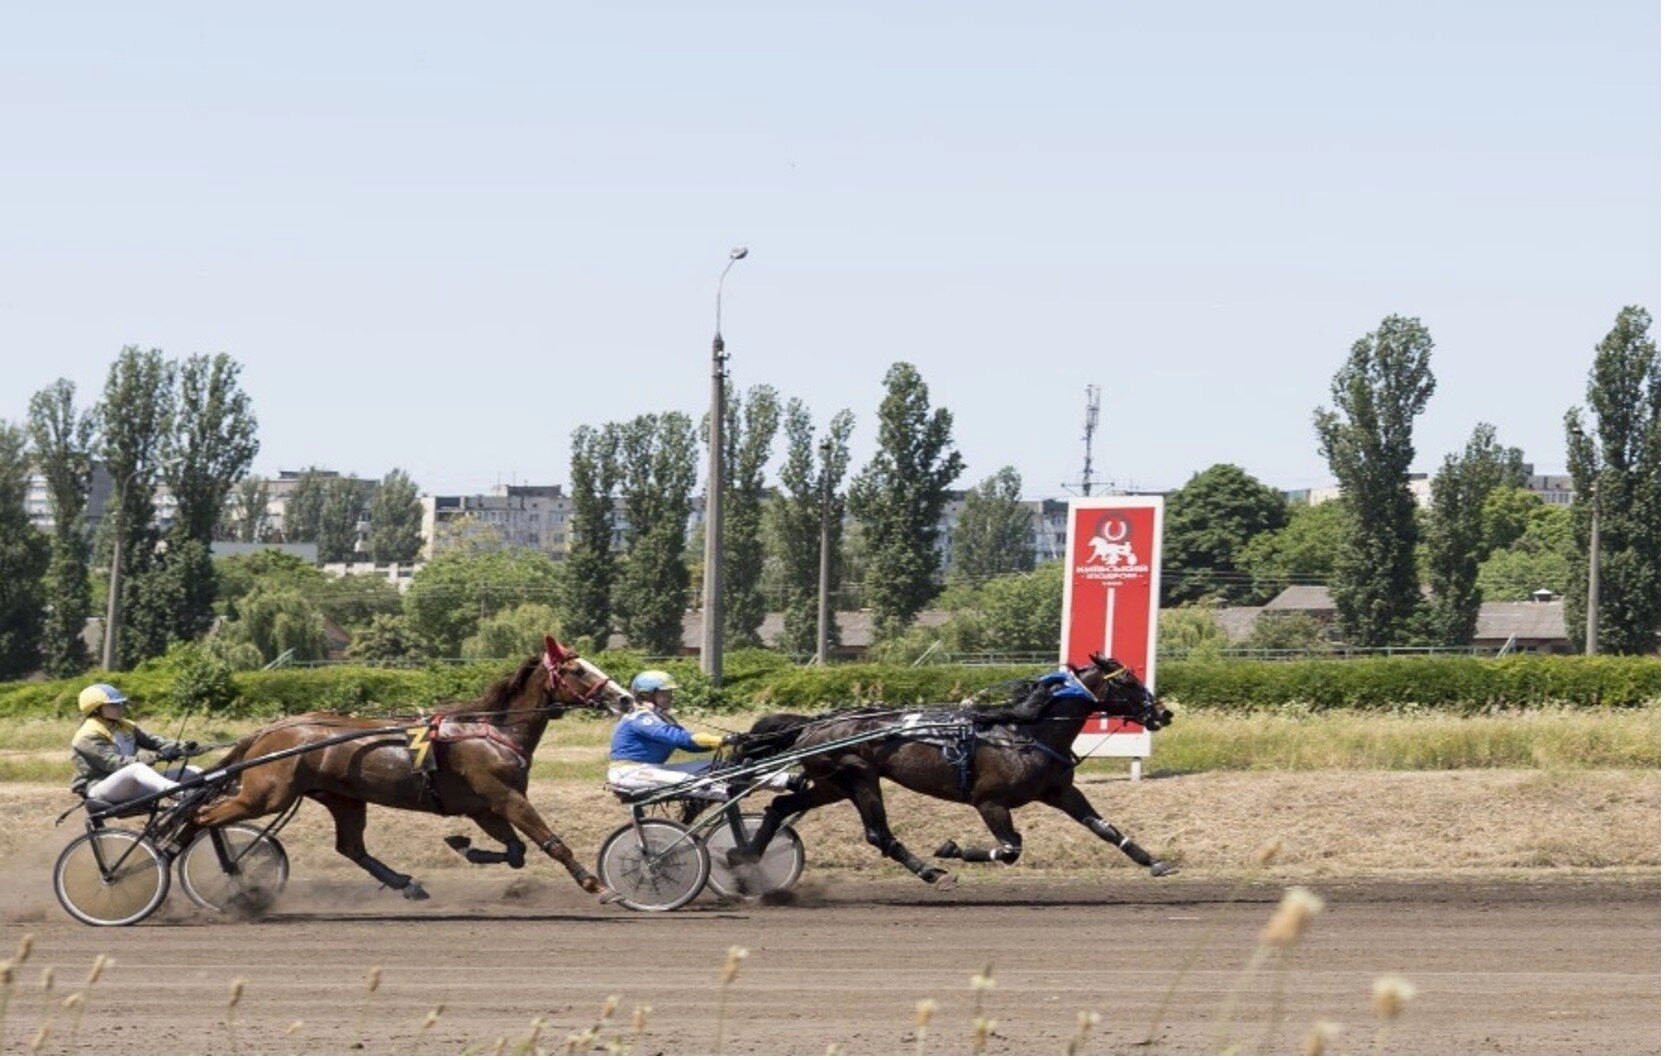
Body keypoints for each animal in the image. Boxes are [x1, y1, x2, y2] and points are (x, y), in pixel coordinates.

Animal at [188, 635, 629, 898]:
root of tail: (270, 730)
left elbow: (516, 850)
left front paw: (464, 846)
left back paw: (403, 882)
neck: (491, 730)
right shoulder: (505, 796)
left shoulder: (483, 806)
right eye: (577, 670)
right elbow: (549, 841)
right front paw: (594, 882)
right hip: (267, 794)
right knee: (201, 816)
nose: (624, 698)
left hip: (343, 798)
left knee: (350, 846)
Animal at [725, 652, 1172, 885]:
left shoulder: (1060, 791)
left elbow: (1104, 828)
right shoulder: (989, 802)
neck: (1024, 731)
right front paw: (951, 849)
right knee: (878, 833)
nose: (1163, 713)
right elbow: (1010, 848)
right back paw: (931, 871)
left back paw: (746, 856)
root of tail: (812, 724)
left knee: (779, 807)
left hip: (830, 785)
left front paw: (1154, 861)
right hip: (858, 778)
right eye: (1127, 681)